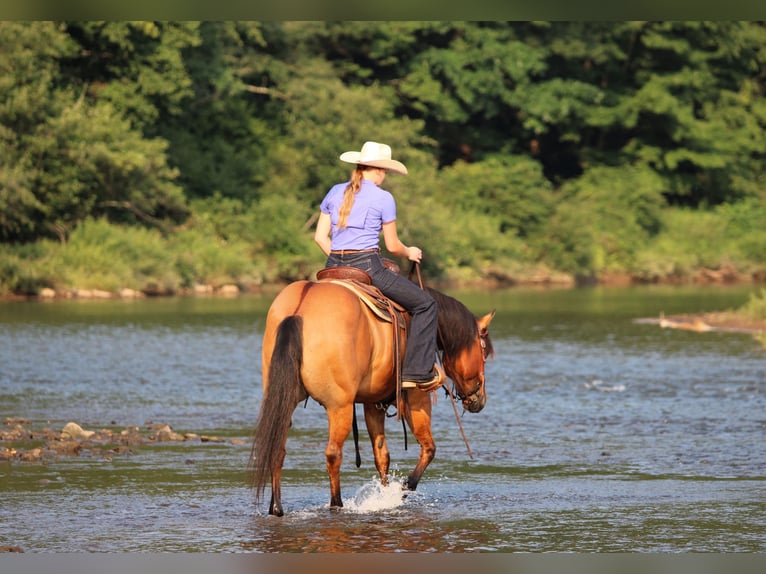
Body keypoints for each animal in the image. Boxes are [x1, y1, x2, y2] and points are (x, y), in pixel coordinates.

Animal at [249, 273, 495, 516]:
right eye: (483, 352)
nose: (480, 399)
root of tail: (300, 307)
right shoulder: (417, 397)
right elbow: (429, 449)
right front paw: (402, 490)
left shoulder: (373, 404)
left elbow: (382, 455)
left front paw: (385, 495)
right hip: (340, 407)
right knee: (333, 454)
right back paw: (336, 504)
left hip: (284, 401)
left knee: (277, 448)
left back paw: (276, 508)